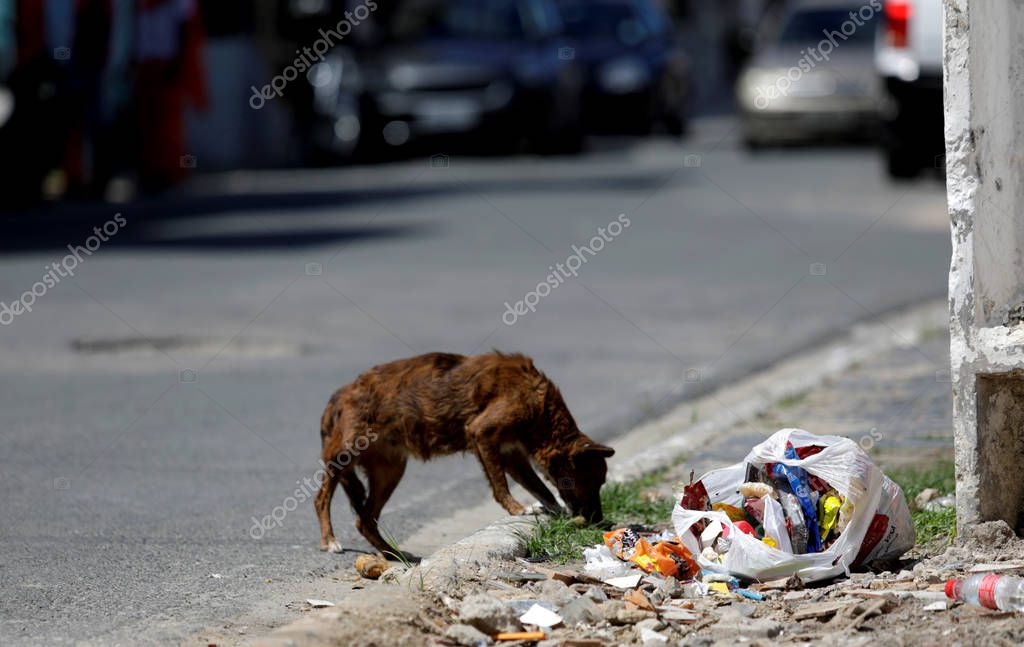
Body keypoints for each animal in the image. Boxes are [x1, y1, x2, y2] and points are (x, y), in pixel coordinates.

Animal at [315, 352, 610, 552]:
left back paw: (392, 554)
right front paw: (517, 508)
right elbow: (500, 484)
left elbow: (541, 487)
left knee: (364, 519)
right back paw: (330, 540)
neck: (540, 407)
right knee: (321, 498)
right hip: (345, 454)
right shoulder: (483, 433)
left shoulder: (511, 453)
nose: (598, 520)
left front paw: (554, 509)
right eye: (593, 482)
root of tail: (338, 395)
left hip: (390, 471)